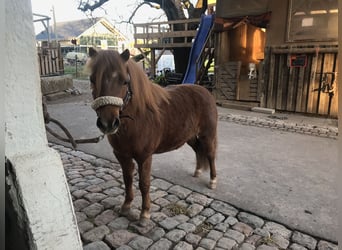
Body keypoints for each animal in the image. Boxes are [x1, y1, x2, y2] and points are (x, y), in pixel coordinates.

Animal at [87, 47, 218, 224]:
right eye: (92, 79)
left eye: (124, 81)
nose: (108, 123)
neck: (138, 118)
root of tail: (205, 91)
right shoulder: (121, 155)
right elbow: (127, 179)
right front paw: (126, 206)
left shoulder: (144, 157)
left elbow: (144, 184)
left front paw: (144, 214)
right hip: (189, 136)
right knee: (198, 149)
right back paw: (197, 171)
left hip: (207, 135)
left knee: (210, 154)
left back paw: (212, 181)